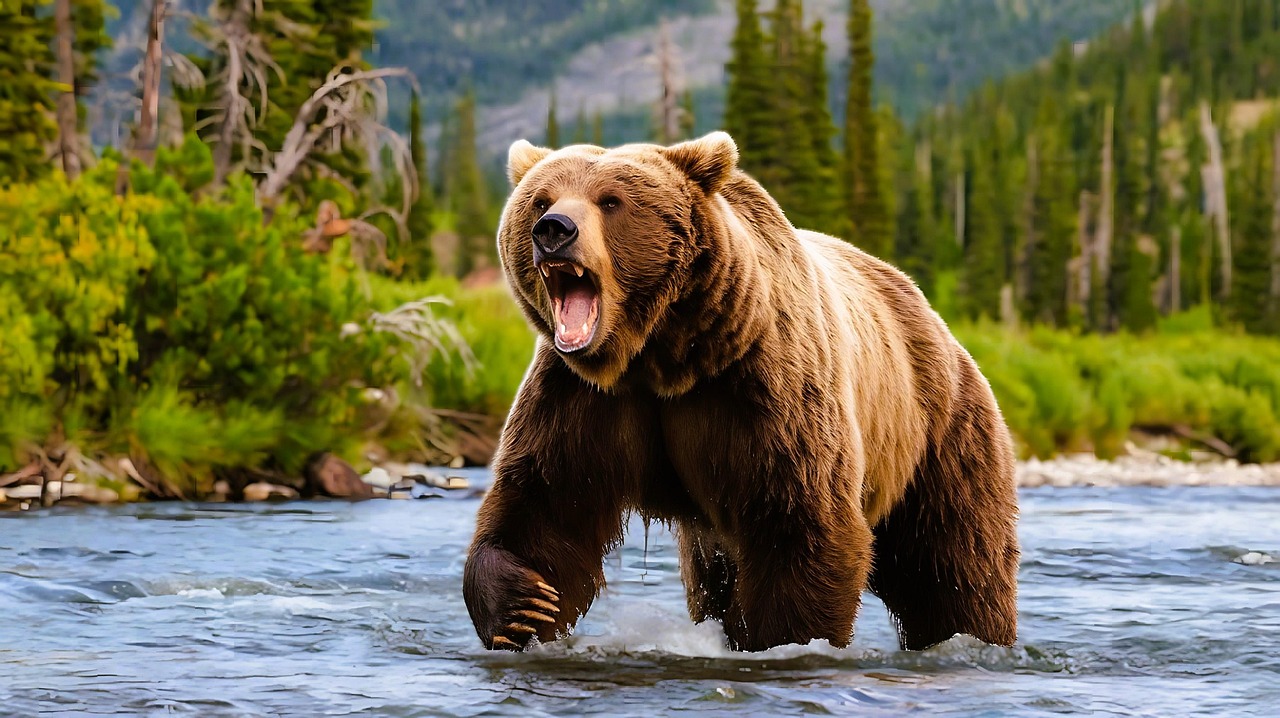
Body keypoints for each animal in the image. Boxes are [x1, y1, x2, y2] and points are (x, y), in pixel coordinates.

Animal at [462, 132, 1019, 653]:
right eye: (541, 200)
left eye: (610, 200)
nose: (554, 230)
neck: (661, 355)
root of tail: (934, 317)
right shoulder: (581, 397)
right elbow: (547, 503)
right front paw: (523, 604)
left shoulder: (763, 389)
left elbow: (801, 523)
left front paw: (778, 637)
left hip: (935, 435)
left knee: (951, 565)